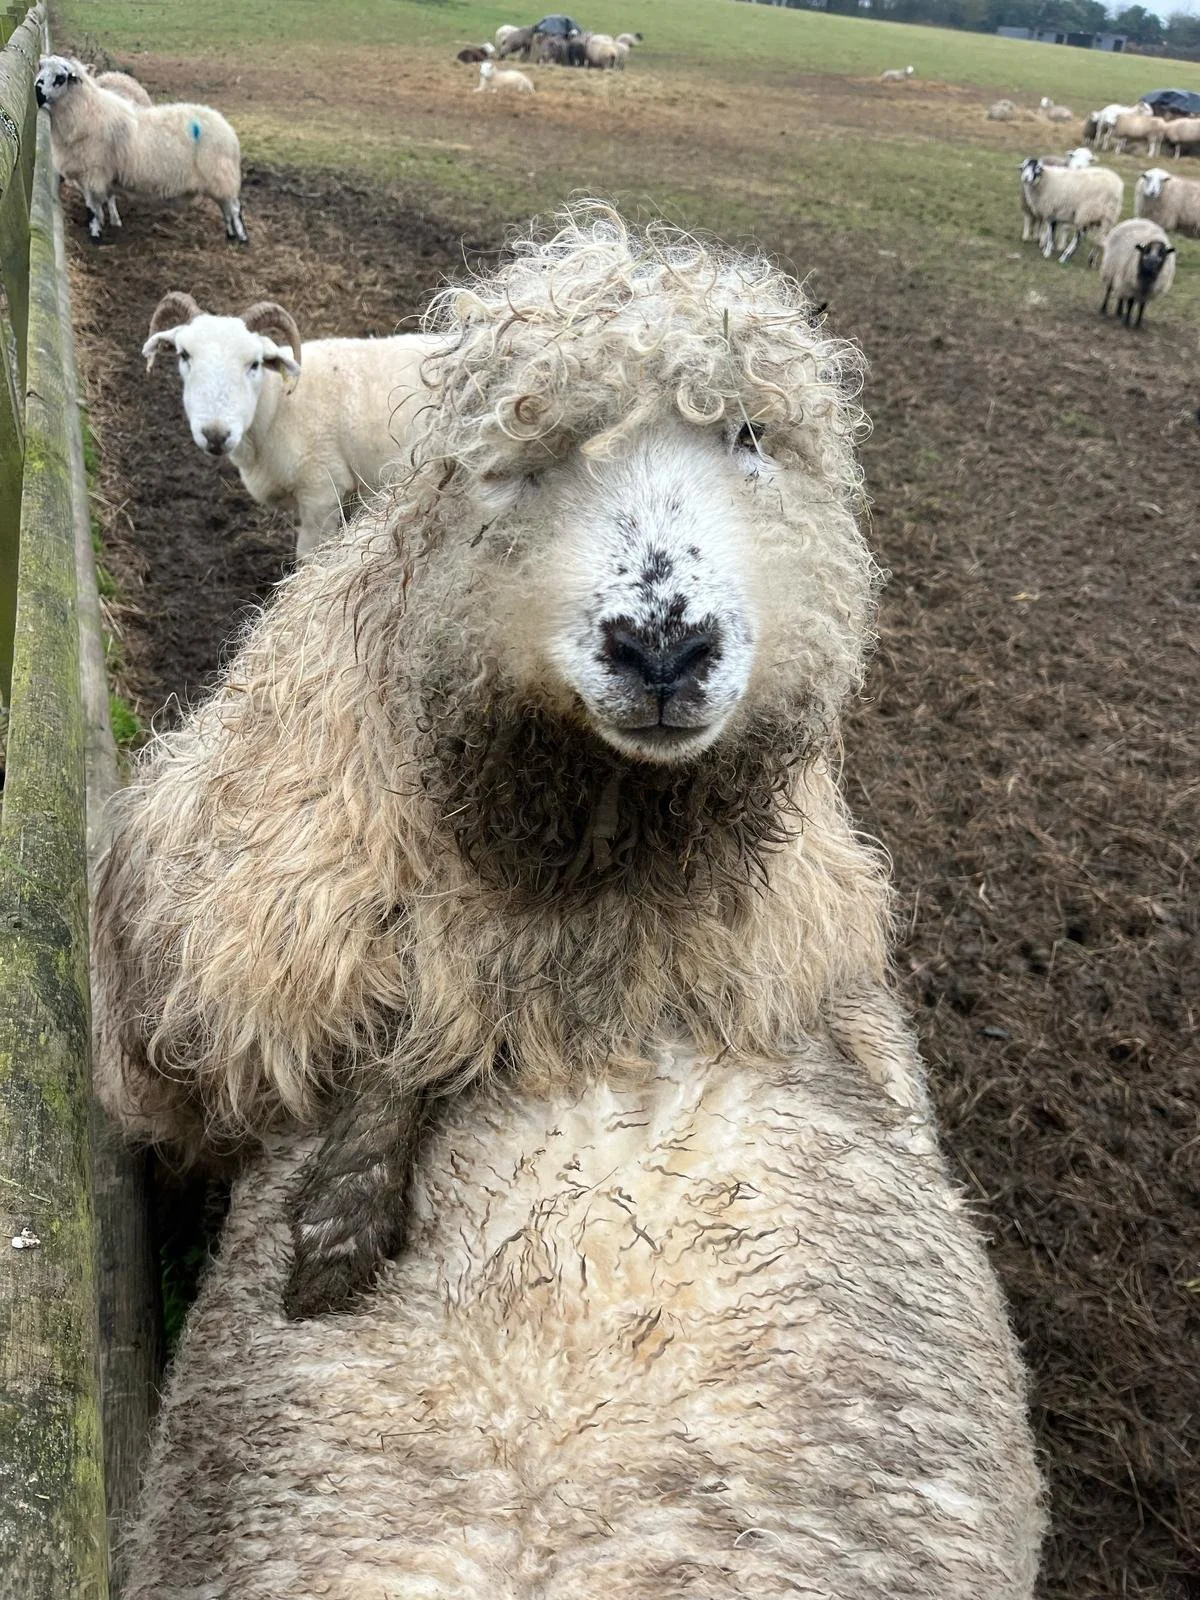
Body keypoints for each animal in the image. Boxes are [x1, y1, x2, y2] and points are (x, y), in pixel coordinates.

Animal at [34, 54, 246, 244]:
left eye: (60, 78)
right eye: (40, 67)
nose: (37, 91)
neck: (85, 113)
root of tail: (227, 129)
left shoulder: (95, 173)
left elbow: (93, 209)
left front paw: (95, 235)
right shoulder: (87, 176)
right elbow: (95, 206)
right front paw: (101, 225)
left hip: (221, 176)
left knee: (234, 208)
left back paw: (242, 238)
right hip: (218, 181)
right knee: (226, 208)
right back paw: (230, 235)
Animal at [141, 292, 440, 557]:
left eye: (255, 364)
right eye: (183, 355)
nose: (215, 435)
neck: (275, 406)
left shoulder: (321, 490)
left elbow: (309, 557)